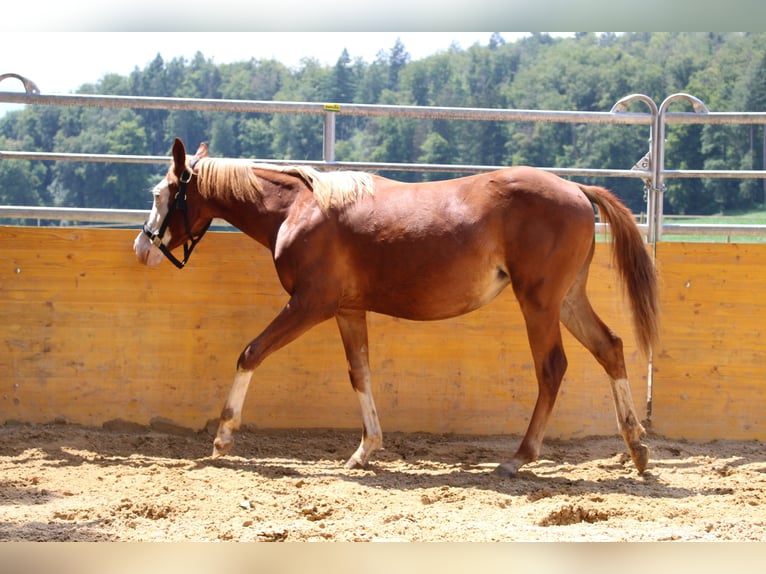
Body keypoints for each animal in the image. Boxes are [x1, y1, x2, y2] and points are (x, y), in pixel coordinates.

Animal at [134, 138, 660, 476]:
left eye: (160, 194)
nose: (143, 247)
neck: (299, 209)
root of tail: (576, 190)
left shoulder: (309, 304)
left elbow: (251, 352)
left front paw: (223, 437)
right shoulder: (347, 310)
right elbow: (360, 373)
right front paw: (365, 450)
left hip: (539, 302)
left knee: (552, 368)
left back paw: (519, 457)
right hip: (567, 299)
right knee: (610, 348)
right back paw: (636, 448)